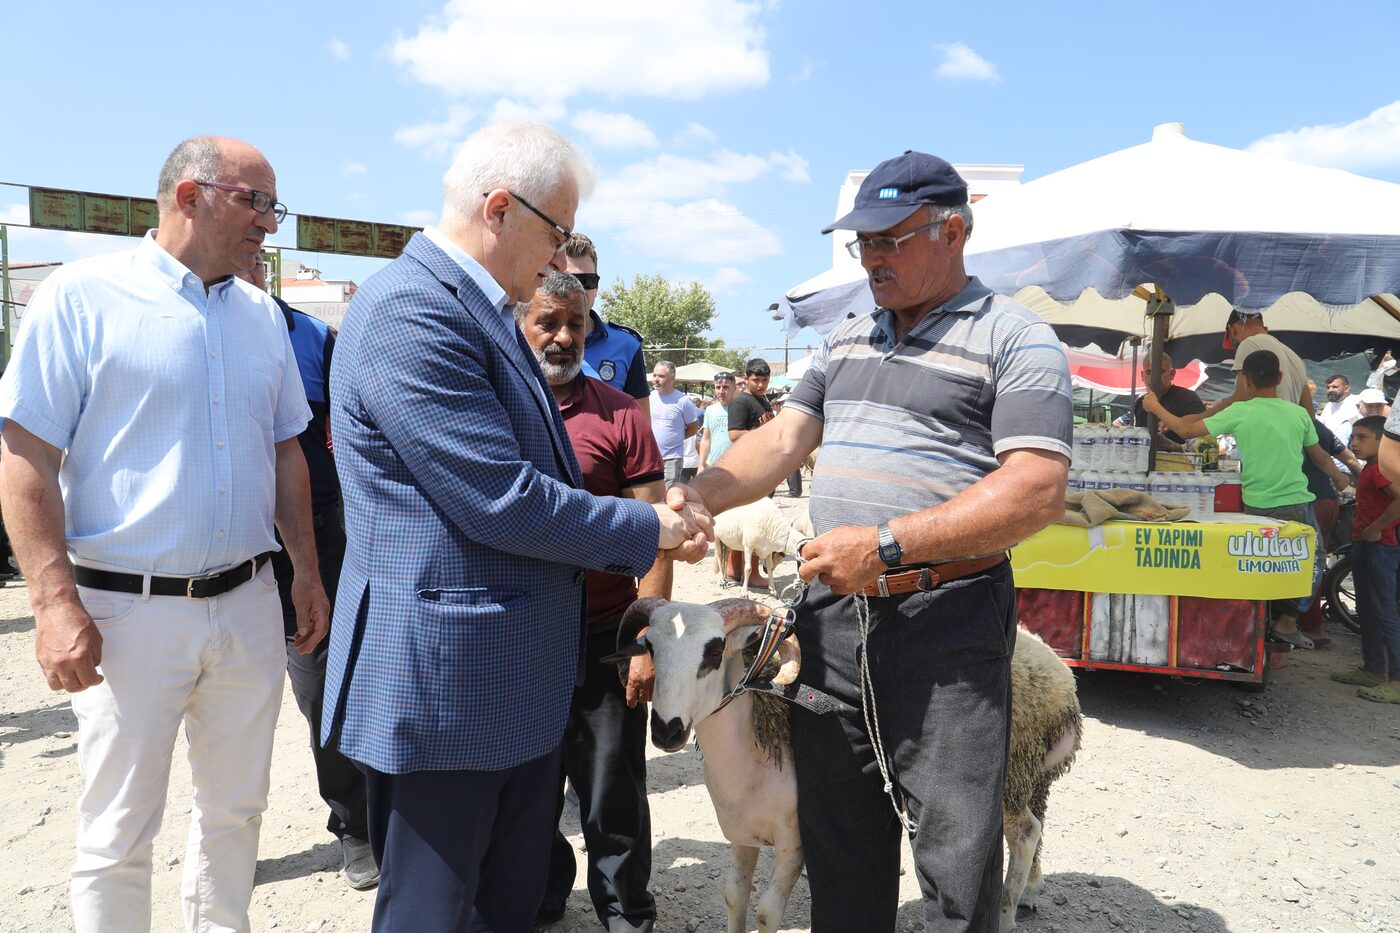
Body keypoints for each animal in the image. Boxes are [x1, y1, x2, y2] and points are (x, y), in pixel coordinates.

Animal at [610, 596, 1080, 930]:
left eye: (713, 651)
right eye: (649, 647)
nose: (665, 731)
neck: (750, 754)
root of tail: (1062, 680)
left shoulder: (795, 840)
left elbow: (766, 914)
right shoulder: (741, 834)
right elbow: (734, 899)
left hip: (1001, 775)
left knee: (1025, 832)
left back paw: (1006, 913)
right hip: (1027, 777)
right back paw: (1030, 892)